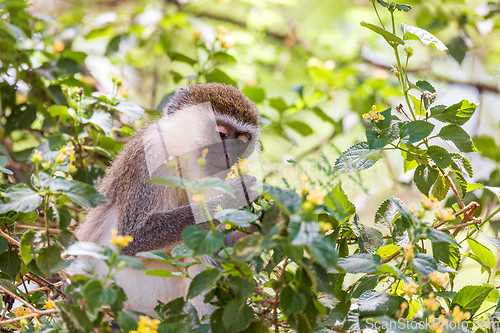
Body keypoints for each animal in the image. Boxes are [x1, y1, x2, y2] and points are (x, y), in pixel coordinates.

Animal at [75, 83, 262, 316]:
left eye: (241, 143)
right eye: (221, 134)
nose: (232, 157)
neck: (181, 157)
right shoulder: (151, 154)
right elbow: (132, 238)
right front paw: (236, 197)